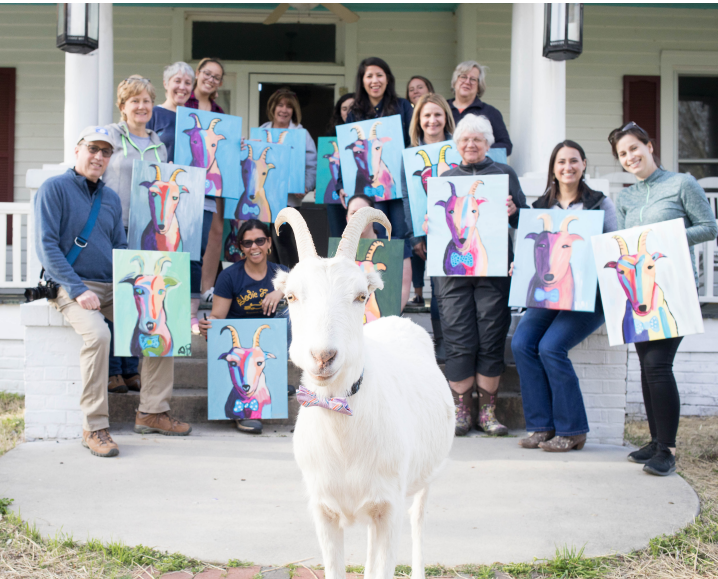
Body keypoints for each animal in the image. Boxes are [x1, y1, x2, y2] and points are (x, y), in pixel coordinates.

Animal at [272, 206, 454, 579]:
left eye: (361, 296)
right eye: (290, 296)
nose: (323, 356)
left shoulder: (389, 506)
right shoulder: (324, 510)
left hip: (423, 478)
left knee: (418, 518)